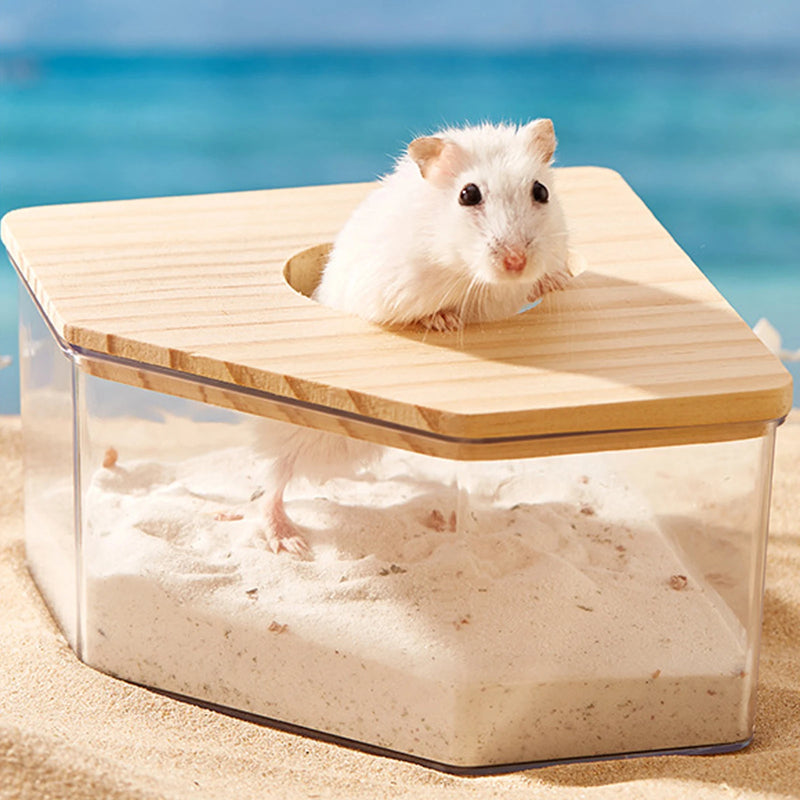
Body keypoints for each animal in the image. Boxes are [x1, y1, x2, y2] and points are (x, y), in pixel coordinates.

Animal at [261, 120, 577, 557]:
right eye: (468, 194)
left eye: (541, 192)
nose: (516, 263)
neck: (469, 273)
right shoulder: (388, 291)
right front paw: (443, 320)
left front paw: (558, 279)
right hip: (294, 429)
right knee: (271, 483)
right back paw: (289, 542)